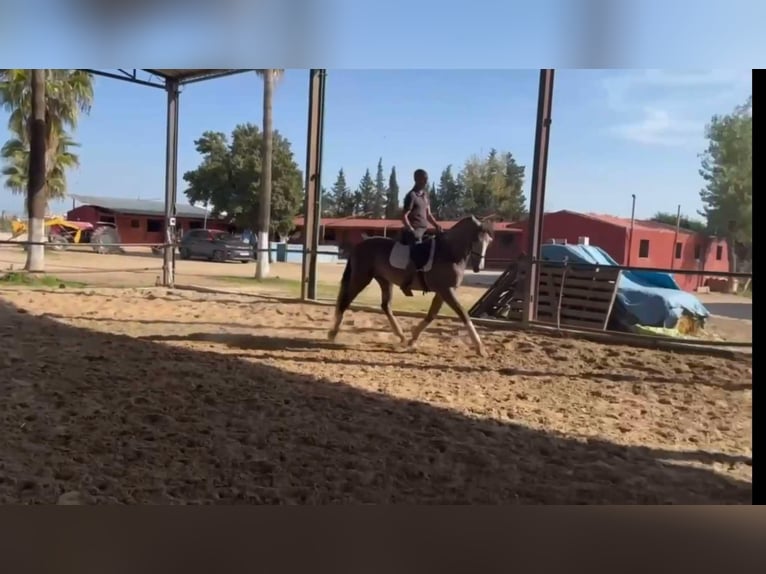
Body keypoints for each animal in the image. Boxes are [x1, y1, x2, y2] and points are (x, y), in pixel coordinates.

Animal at [328, 217, 496, 358]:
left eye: (489, 241)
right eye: (477, 239)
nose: (478, 267)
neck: (448, 252)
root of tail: (360, 245)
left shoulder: (443, 292)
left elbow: (431, 315)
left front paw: (412, 339)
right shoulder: (446, 290)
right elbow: (463, 314)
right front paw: (480, 348)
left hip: (384, 280)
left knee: (385, 306)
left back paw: (401, 336)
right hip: (361, 278)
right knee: (345, 302)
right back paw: (332, 333)